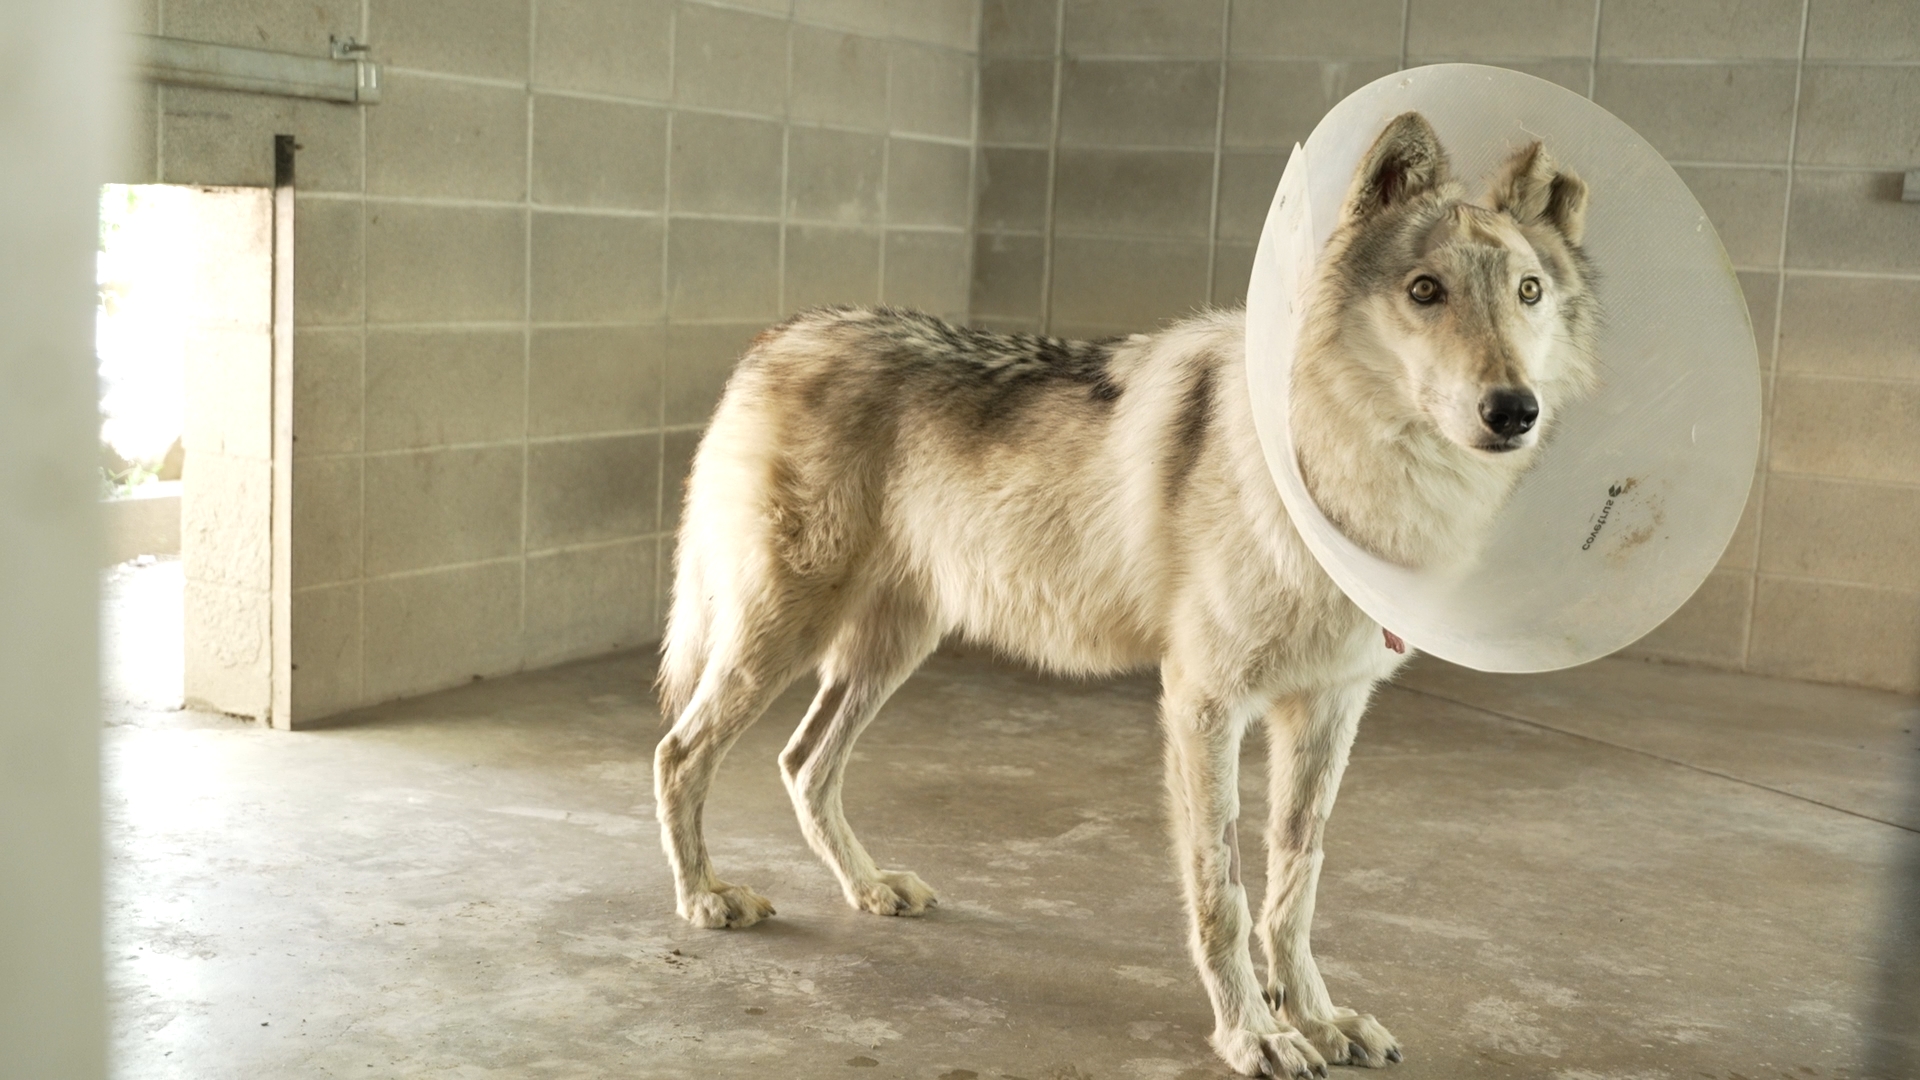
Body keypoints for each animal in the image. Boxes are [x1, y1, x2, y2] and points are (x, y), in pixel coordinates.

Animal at [650, 112, 1598, 1077]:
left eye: (1527, 292)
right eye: (1425, 290)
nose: (1513, 409)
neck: (1350, 485)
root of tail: (782, 335)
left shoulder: (1329, 709)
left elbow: (1296, 882)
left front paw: (1319, 1017)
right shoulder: (1204, 705)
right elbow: (1224, 890)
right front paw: (1253, 1033)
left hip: (889, 650)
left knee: (803, 763)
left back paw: (870, 886)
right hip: (783, 635)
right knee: (681, 751)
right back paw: (706, 899)